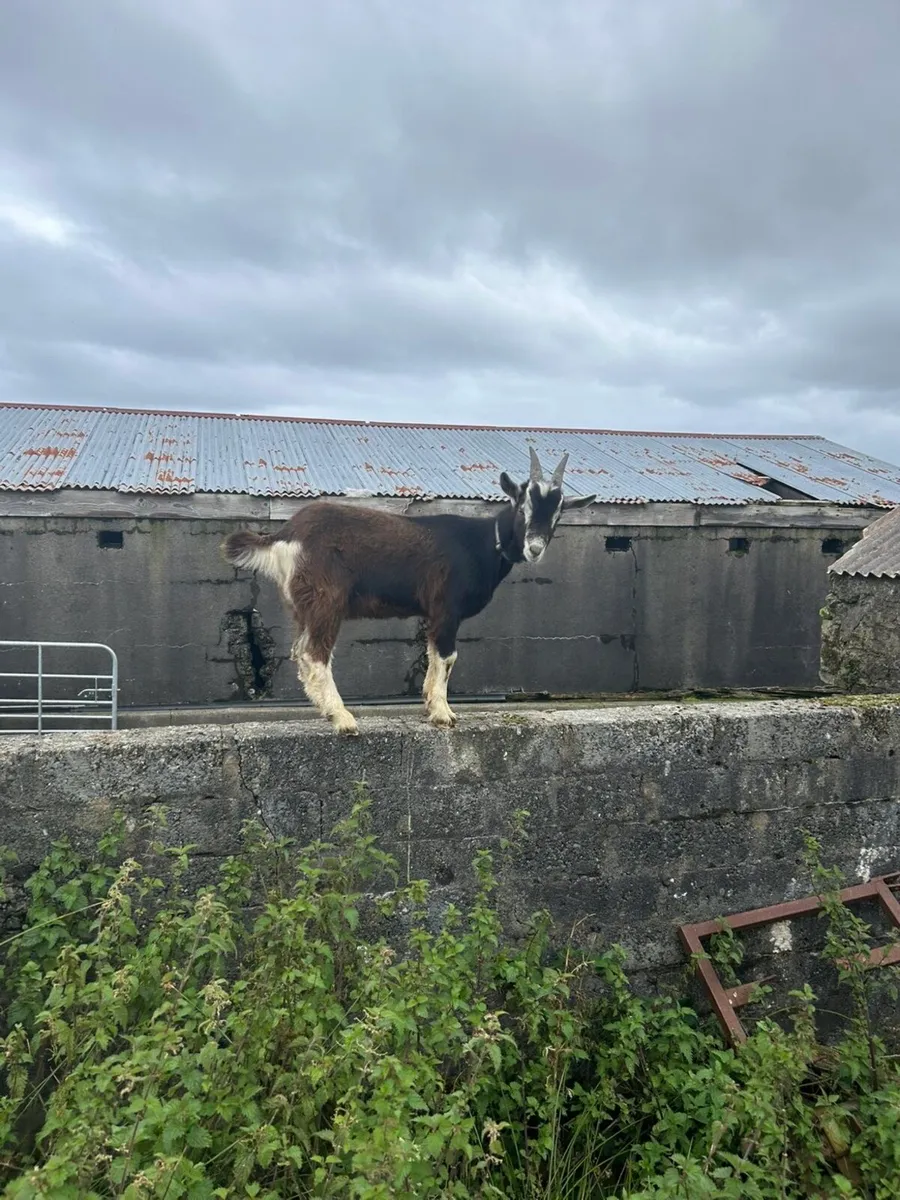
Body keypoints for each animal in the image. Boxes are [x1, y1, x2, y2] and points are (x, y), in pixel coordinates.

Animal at [221, 447, 595, 735]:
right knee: (315, 654)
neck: (483, 544)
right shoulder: (446, 608)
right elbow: (447, 657)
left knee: (301, 652)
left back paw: (328, 711)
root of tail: (285, 534)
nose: (535, 548)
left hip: (304, 605)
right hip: (326, 599)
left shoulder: (435, 613)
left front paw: (431, 705)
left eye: (558, 514)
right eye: (522, 506)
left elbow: (432, 655)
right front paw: (444, 714)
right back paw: (343, 719)